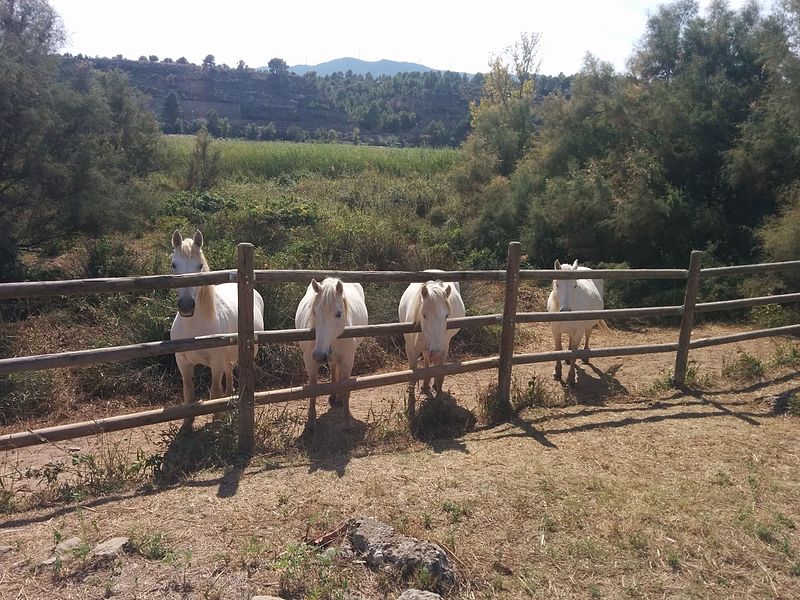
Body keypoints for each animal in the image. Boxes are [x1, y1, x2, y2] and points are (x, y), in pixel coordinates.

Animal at [169, 230, 266, 432]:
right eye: (174, 264)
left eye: (199, 265)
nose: (186, 306)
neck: (195, 329)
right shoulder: (183, 362)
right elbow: (188, 393)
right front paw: (187, 423)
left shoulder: (216, 362)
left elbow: (214, 392)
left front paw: (216, 419)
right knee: (228, 372)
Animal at [294, 278, 368, 434]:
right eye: (314, 312)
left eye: (339, 314)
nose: (319, 355)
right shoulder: (309, 360)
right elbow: (313, 389)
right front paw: (311, 422)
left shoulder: (348, 360)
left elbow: (345, 387)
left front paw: (347, 422)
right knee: (333, 367)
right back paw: (334, 396)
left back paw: (338, 399)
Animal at [396, 274, 466, 418]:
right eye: (424, 315)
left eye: (446, 315)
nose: (436, 352)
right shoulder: (411, 350)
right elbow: (412, 377)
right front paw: (411, 409)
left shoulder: (443, 348)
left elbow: (439, 376)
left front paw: (439, 403)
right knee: (427, 361)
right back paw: (425, 385)